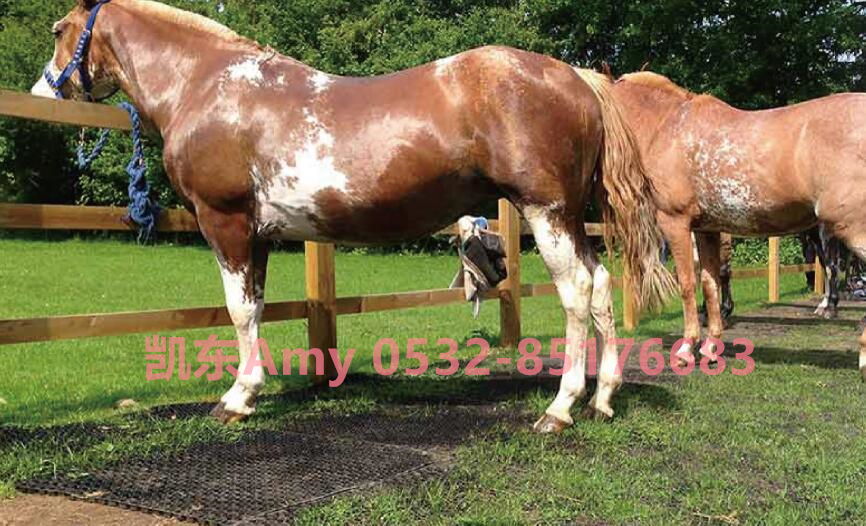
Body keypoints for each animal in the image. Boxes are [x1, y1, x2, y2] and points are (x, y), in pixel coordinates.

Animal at [33, 0, 675, 432]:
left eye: (59, 30)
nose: (42, 92)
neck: (209, 85)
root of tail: (577, 78)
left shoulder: (226, 222)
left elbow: (239, 310)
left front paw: (236, 400)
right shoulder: (259, 234)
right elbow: (256, 307)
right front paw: (250, 391)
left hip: (546, 211)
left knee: (576, 293)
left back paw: (561, 409)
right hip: (569, 217)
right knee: (601, 286)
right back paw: (602, 398)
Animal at [576, 68, 866, 378]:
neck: (666, 128)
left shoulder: (676, 223)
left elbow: (687, 283)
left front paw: (686, 350)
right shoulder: (707, 230)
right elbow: (710, 283)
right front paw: (710, 347)